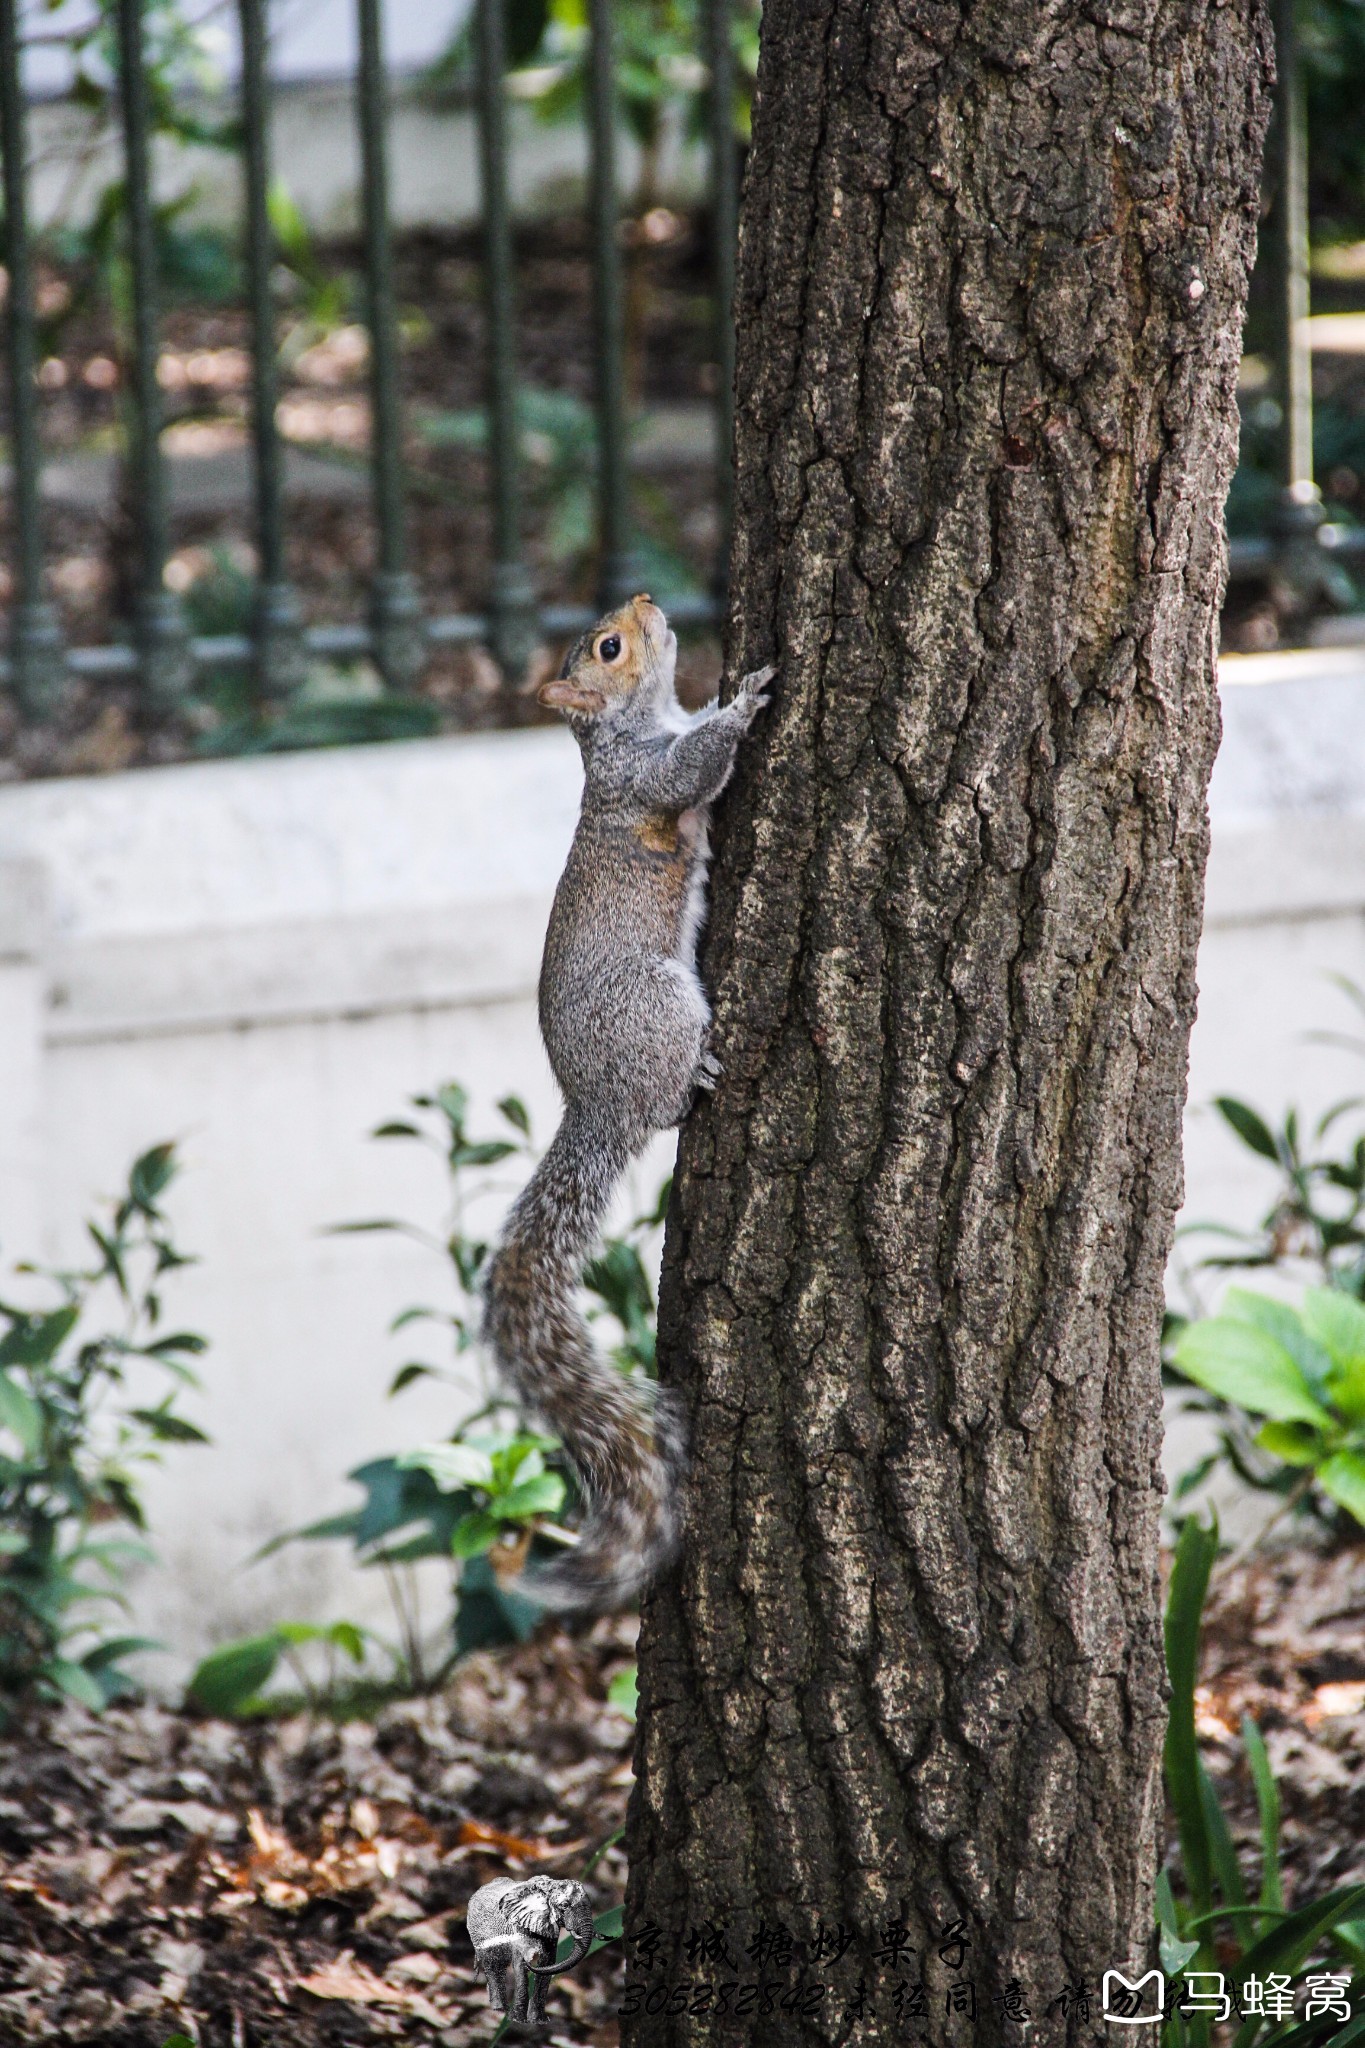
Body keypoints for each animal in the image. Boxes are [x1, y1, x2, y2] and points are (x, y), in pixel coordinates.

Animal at [485, 593, 773, 1613]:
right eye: (609, 647)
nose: (646, 600)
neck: (625, 726)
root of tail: (595, 1108)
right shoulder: (643, 781)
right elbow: (691, 768)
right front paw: (747, 698)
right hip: (658, 1006)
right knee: (664, 1103)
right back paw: (698, 1077)